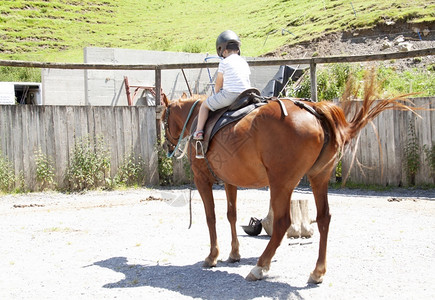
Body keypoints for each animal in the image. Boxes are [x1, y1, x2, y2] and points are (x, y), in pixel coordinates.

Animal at [162, 73, 418, 284]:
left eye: (163, 119)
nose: (166, 146)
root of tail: (314, 111)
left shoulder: (202, 179)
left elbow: (211, 217)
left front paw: (212, 256)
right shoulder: (230, 180)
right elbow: (231, 215)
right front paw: (234, 253)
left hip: (280, 183)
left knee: (282, 223)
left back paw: (260, 267)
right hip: (318, 177)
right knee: (324, 218)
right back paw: (318, 271)